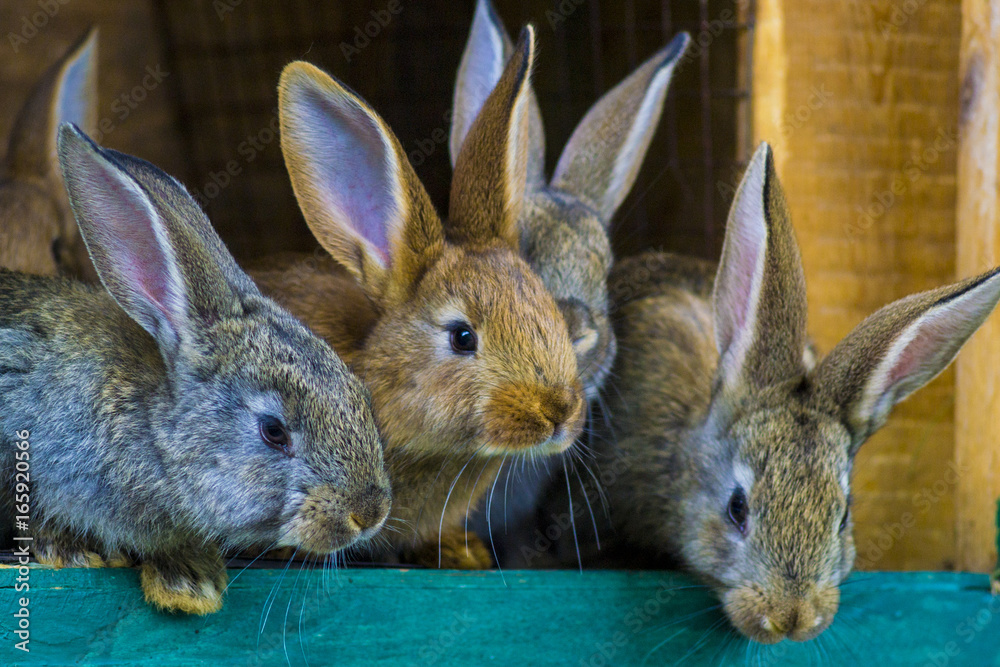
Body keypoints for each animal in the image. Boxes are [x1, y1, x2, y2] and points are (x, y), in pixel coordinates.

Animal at [0, 125, 391, 615]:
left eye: (362, 398)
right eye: (273, 431)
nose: (369, 514)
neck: (153, 434)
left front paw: (190, 578)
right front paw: (71, 550)